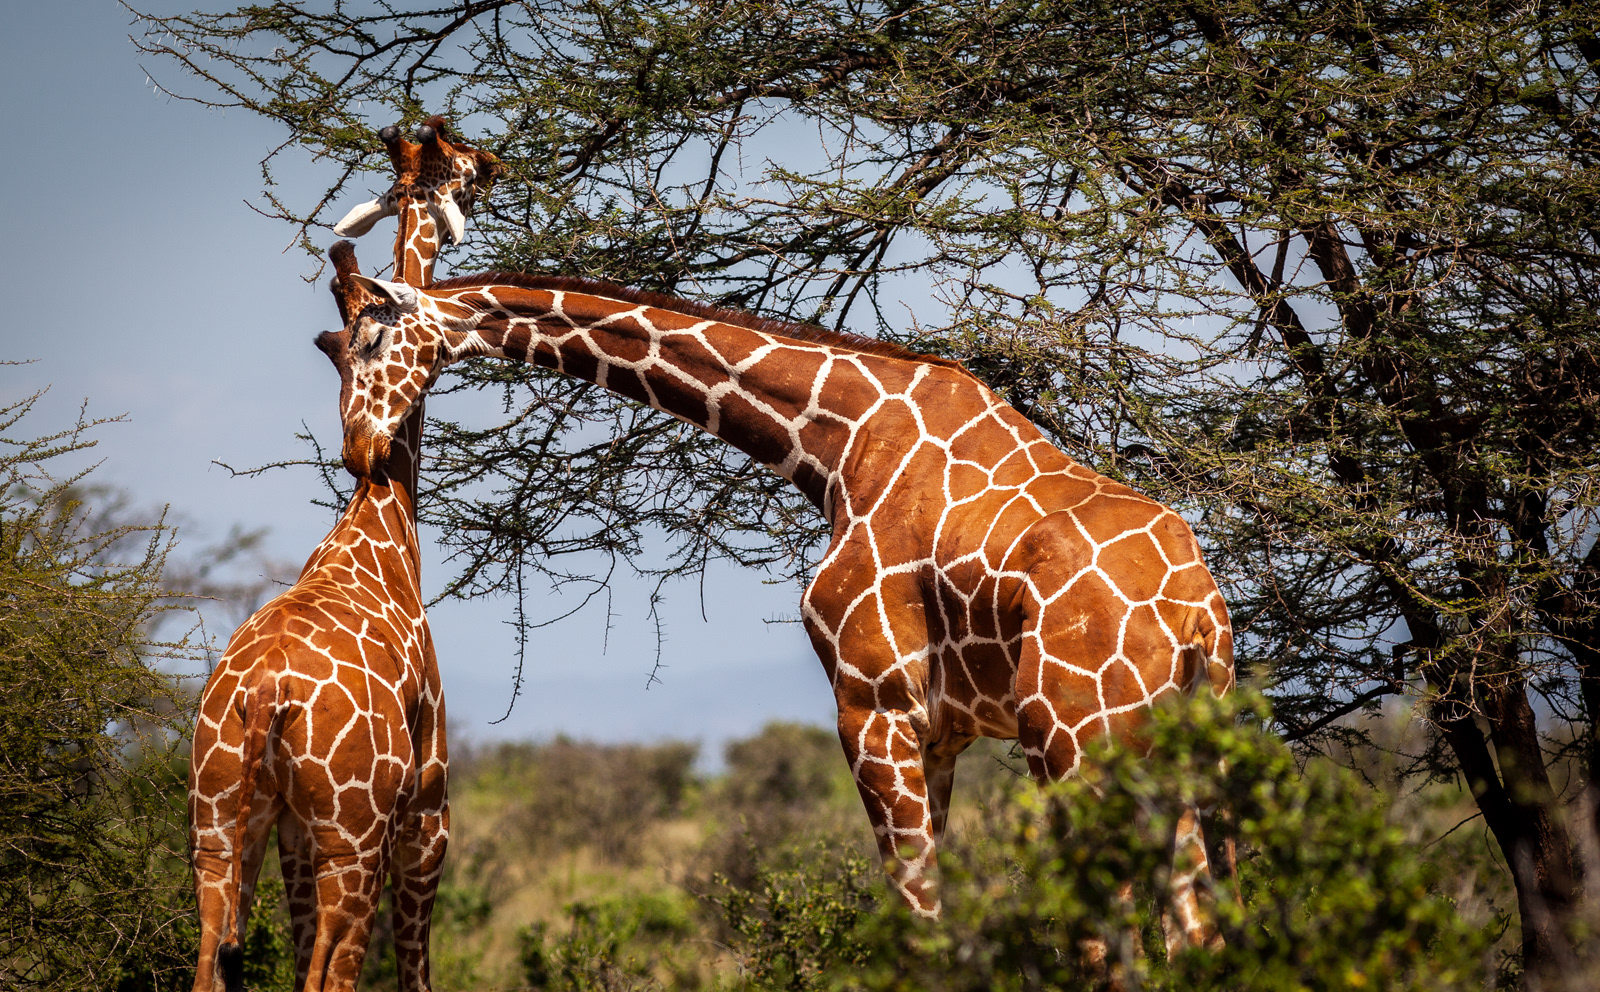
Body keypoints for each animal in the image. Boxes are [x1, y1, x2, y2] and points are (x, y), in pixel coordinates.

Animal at [324, 250, 1235, 941]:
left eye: (370, 338)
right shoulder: (942, 732)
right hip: (1189, 752)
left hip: (1076, 742)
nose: (359, 450)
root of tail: (1200, 616)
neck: (840, 442)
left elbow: (921, 918)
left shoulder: (874, 704)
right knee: (1197, 921)